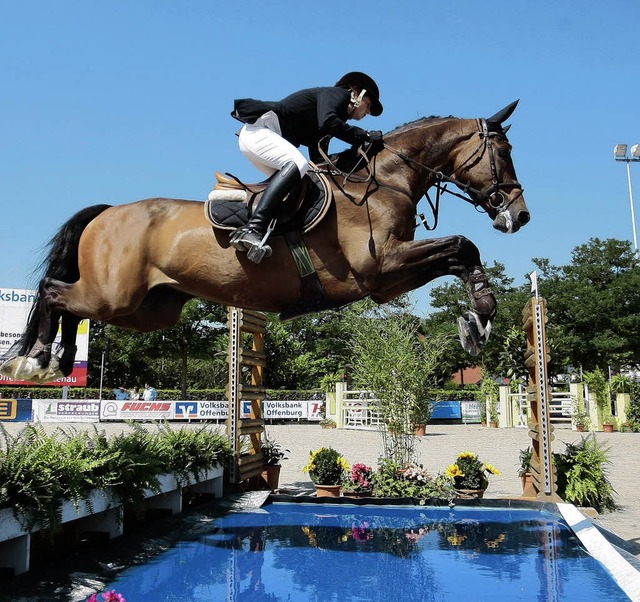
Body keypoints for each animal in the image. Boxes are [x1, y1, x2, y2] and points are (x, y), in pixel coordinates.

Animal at [0, 98, 528, 380]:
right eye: (503, 152)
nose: (520, 215)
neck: (385, 180)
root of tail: (108, 212)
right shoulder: (381, 271)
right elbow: (462, 245)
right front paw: (480, 318)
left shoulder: (390, 279)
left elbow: (460, 253)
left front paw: (477, 322)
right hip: (115, 295)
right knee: (53, 292)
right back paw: (36, 359)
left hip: (145, 309)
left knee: (71, 305)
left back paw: (57, 362)